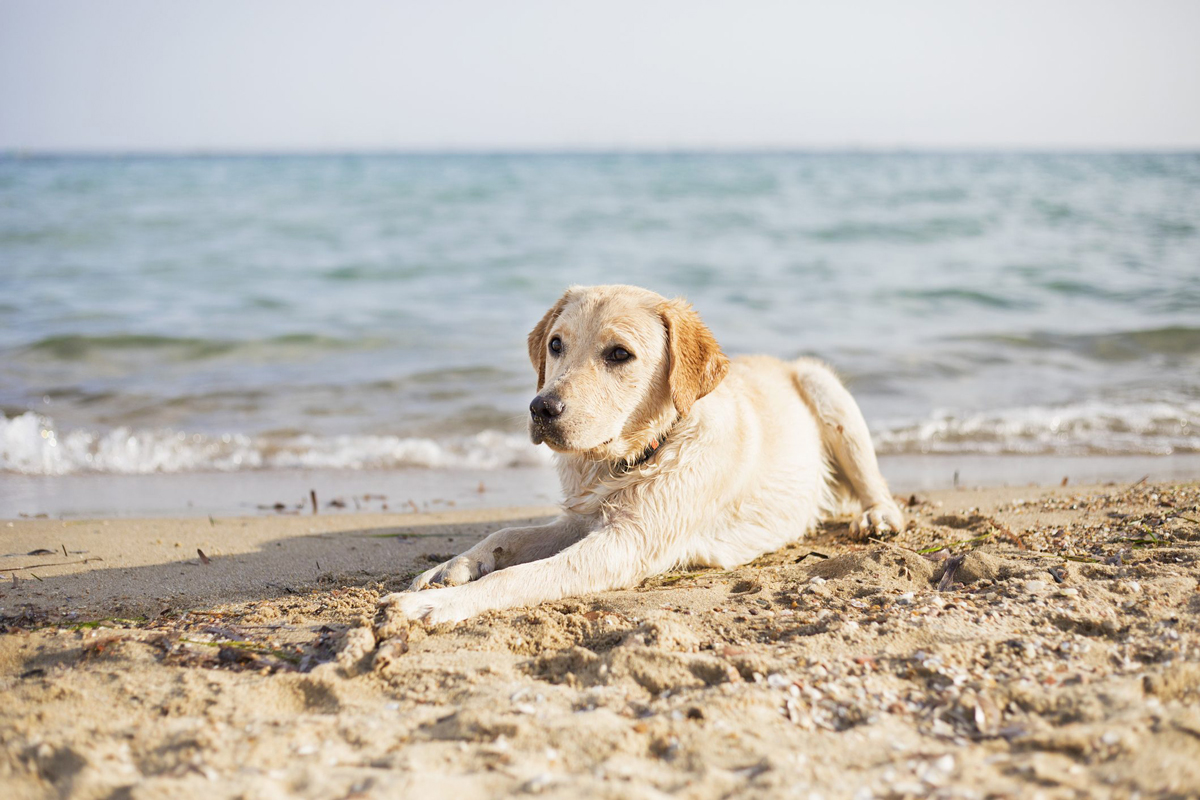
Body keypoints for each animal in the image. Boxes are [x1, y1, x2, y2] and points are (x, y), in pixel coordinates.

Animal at [379, 284, 902, 628]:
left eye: (619, 354)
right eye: (555, 344)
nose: (541, 408)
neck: (634, 456)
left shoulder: (627, 543)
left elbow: (521, 577)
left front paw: (437, 606)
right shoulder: (582, 518)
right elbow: (505, 535)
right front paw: (449, 569)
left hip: (824, 387)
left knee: (877, 485)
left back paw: (877, 517)